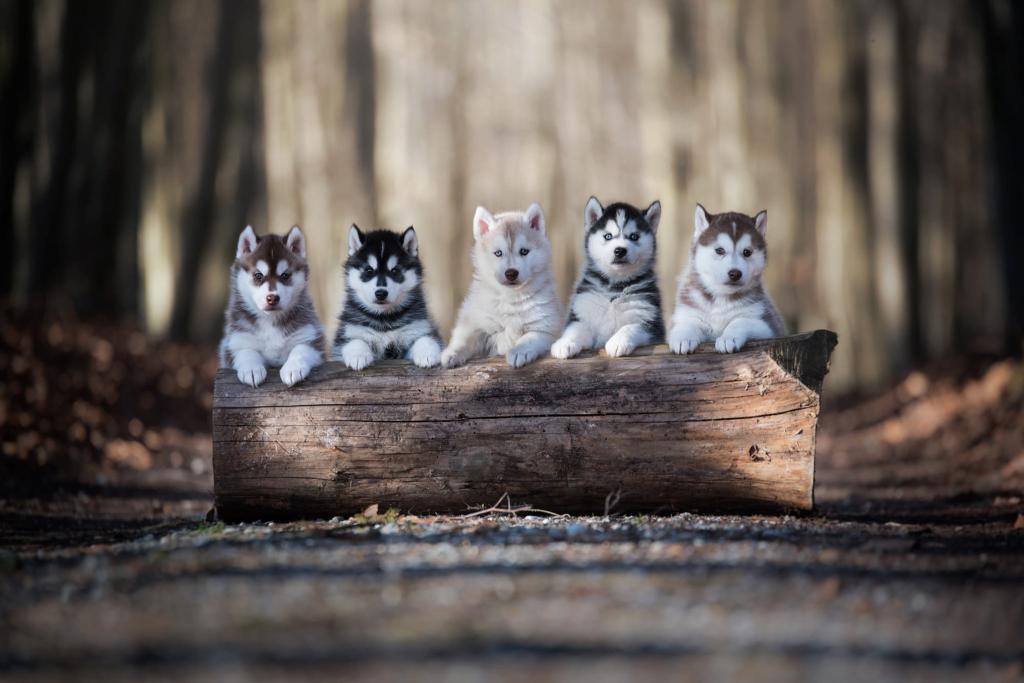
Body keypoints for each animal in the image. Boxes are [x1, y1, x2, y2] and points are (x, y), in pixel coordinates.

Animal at [219, 223, 323, 385]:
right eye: (258, 275)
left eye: (285, 275)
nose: (272, 298)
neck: (270, 320)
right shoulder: (236, 341)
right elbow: (246, 352)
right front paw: (252, 370)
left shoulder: (310, 336)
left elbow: (300, 350)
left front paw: (293, 368)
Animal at [327, 227, 440, 370]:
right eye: (369, 270)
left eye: (395, 271)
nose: (381, 293)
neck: (384, 318)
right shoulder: (348, 332)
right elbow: (355, 340)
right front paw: (358, 355)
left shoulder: (417, 327)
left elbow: (425, 338)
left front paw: (427, 353)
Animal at [442, 201, 565, 368]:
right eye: (498, 253)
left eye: (524, 251)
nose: (511, 273)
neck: (511, 296)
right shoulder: (474, 321)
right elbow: (466, 338)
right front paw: (452, 353)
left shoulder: (545, 328)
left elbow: (529, 338)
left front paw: (519, 351)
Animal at [552, 196, 663, 360]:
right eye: (608, 236)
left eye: (634, 236)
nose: (620, 250)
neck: (614, 288)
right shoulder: (583, 313)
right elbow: (575, 329)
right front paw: (565, 343)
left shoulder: (650, 322)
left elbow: (631, 326)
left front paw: (618, 342)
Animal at [667, 204, 786, 356]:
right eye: (719, 250)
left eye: (747, 252)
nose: (735, 273)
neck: (722, 298)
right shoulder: (687, 312)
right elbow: (687, 323)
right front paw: (683, 337)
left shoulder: (768, 325)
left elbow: (740, 321)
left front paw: (728, 338)